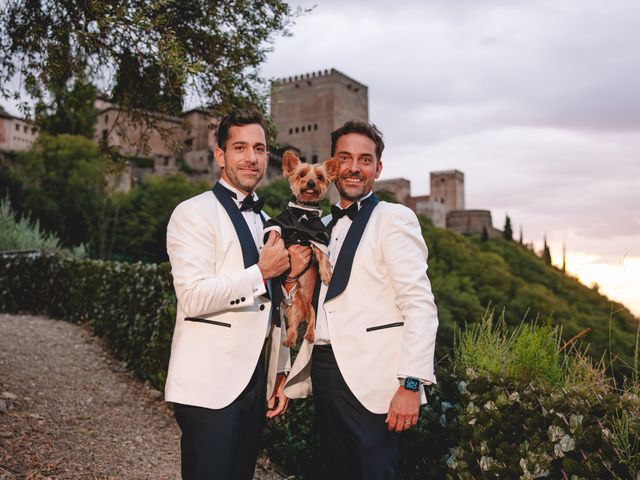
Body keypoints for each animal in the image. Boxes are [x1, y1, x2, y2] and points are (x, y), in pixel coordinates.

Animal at [262, 152, 340, 346]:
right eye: (302, 174)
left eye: (320, 177)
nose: (311, 183)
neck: (303, 213)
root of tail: (304, 309)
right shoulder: (278, 224)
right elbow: (275, 234)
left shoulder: (318, 237)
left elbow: (322, 256)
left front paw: (326, 275)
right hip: (293, 309)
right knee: (292, 328)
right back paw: (289, 340)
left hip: (313, 308)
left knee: (311, 323)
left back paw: (310, 336)